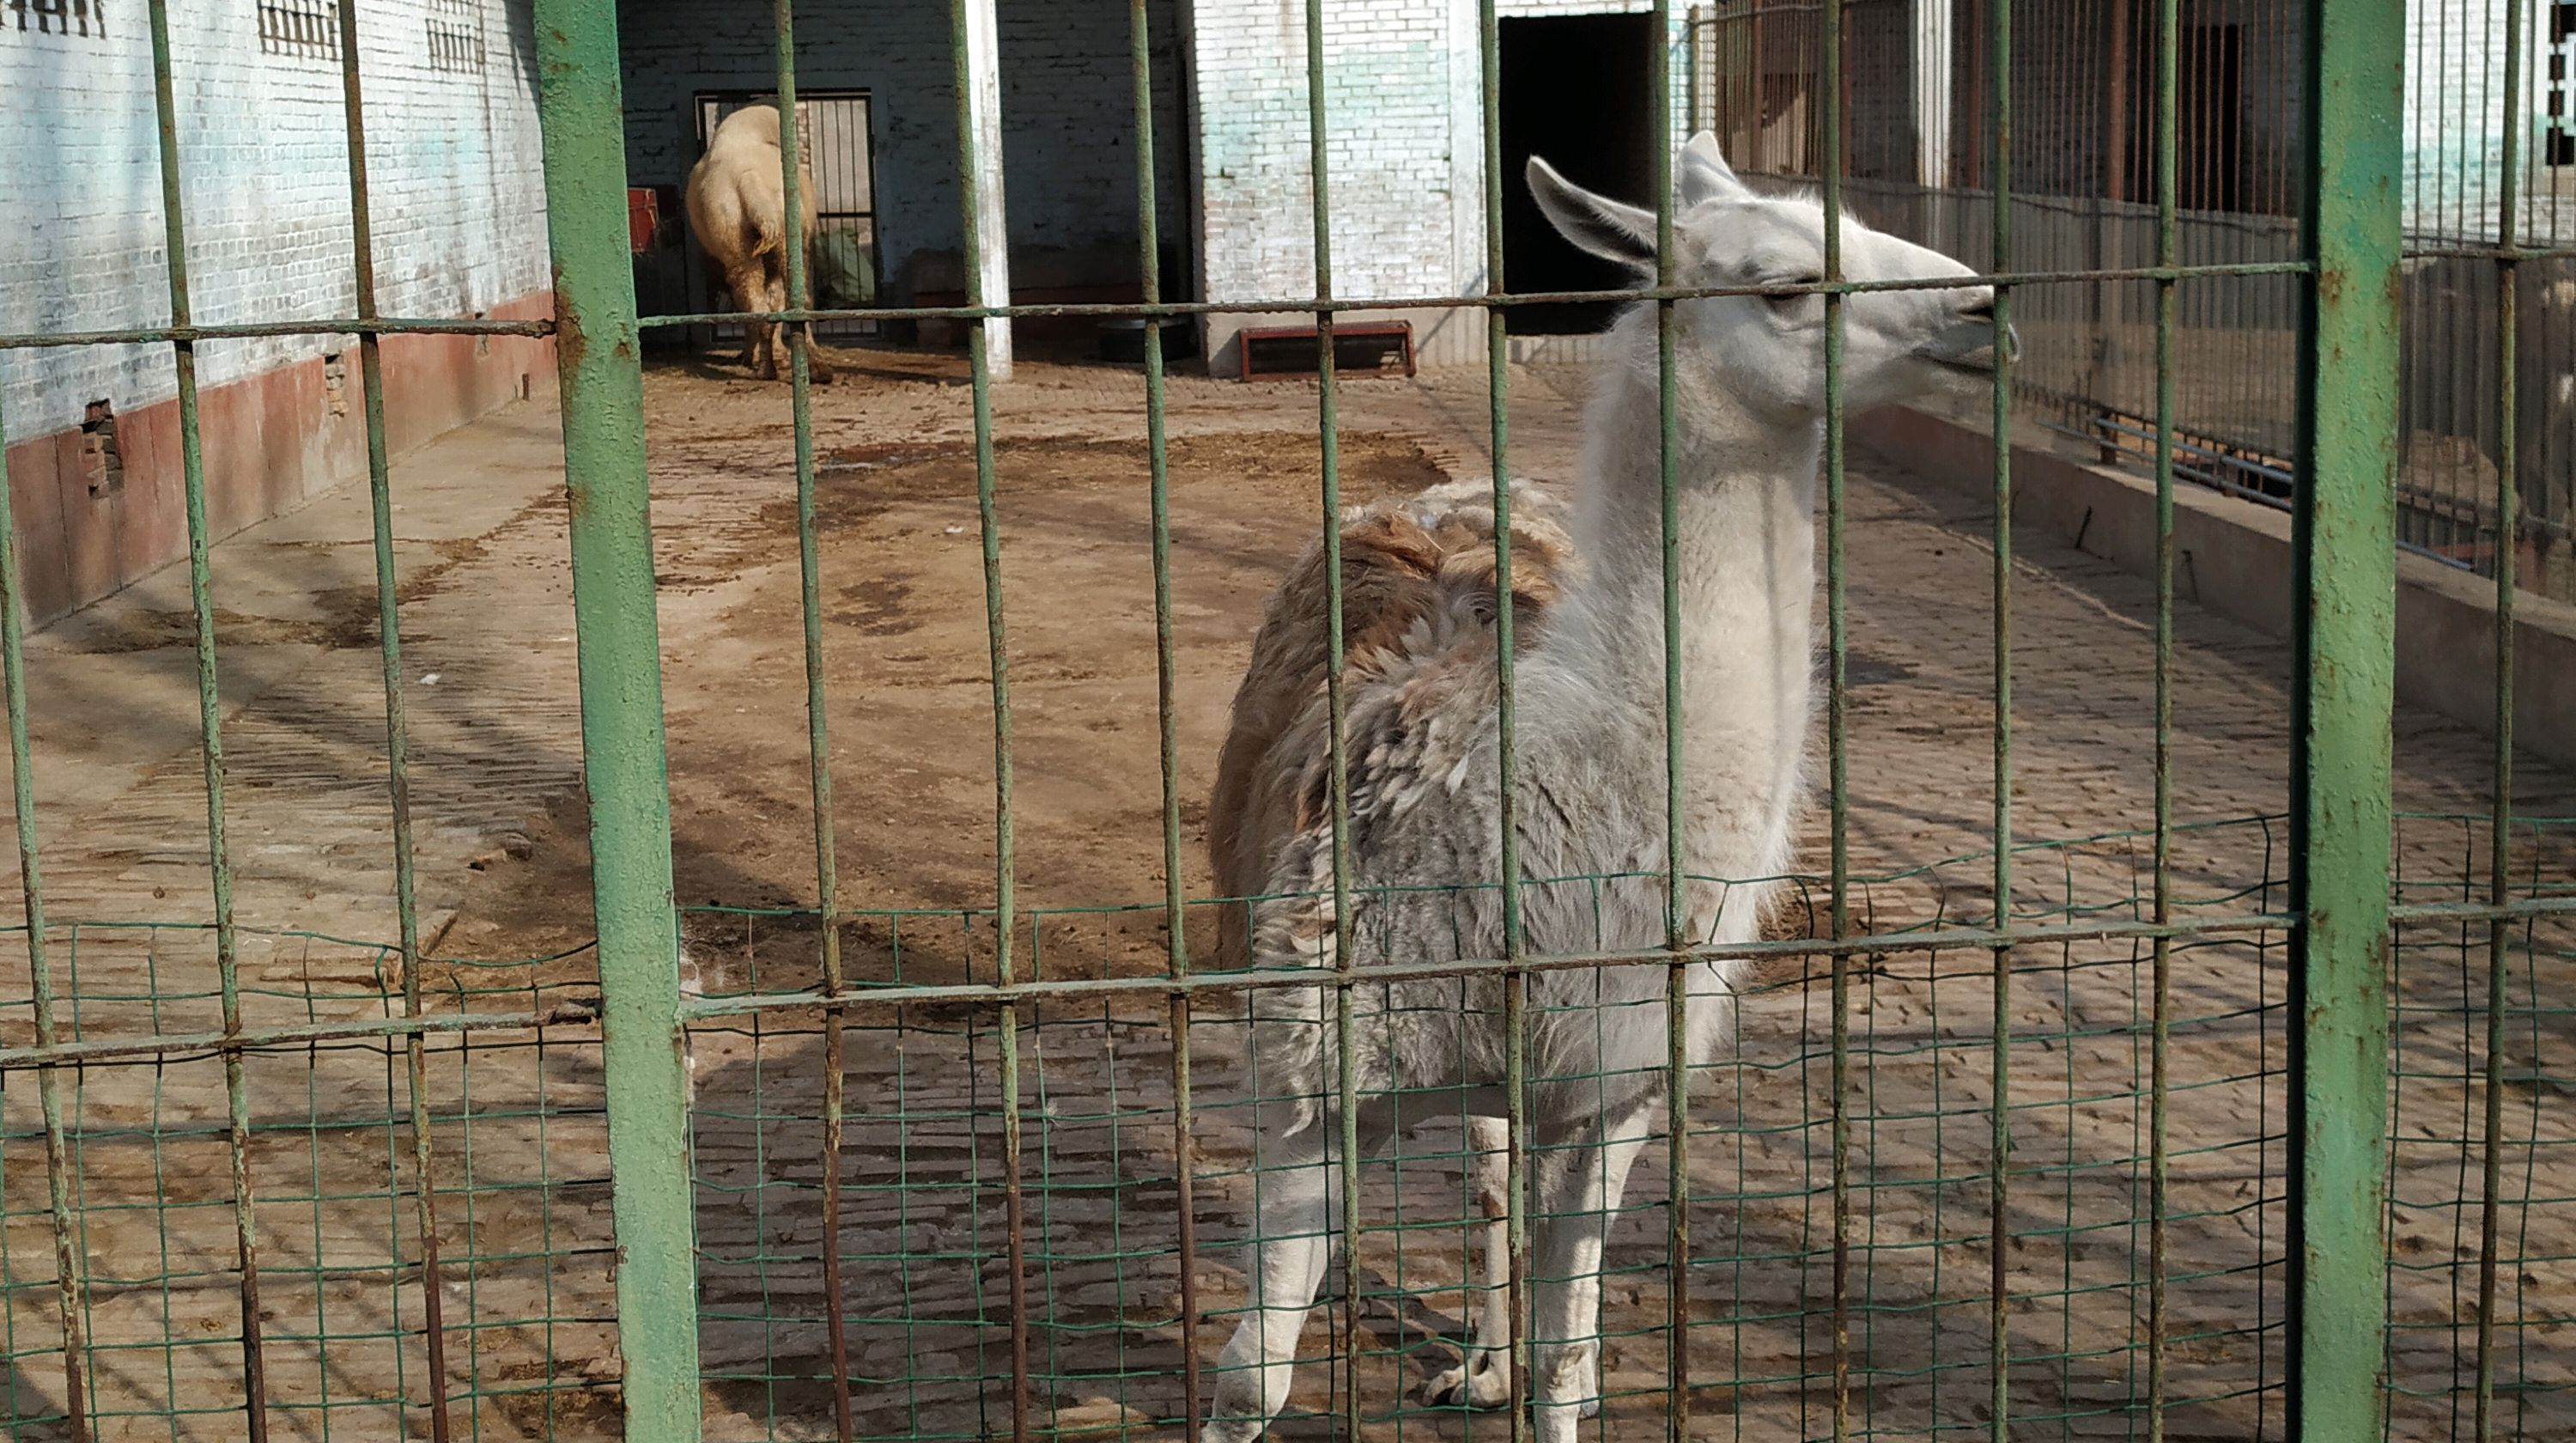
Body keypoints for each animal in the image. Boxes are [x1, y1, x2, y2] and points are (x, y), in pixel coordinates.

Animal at [685, 104, 835, 384]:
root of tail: (749, 179)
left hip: (734, 234)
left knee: (757, 303)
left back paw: (767, 368)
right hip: (782, 237)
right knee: (795, 301)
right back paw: (816, 369)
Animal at [1195, 135, 1999, 1443]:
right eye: (1786, 281)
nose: (1983, 305)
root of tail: (1446, 499)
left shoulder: (1618, 1087)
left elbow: (1573, 1352)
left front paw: (1529, 1372)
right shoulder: (1313, 1074)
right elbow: (1251, 1376)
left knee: (1493, 1171)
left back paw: (1484, 1359)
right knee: (1483, 1161)